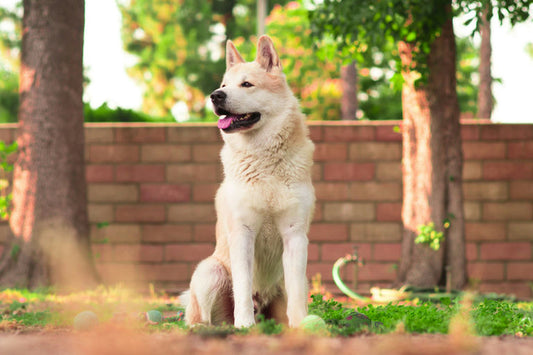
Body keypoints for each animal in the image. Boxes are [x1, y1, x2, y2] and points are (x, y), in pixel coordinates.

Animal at [184, 35, 314, 328]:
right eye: (223, 86)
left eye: (247, 84)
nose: (215, 96)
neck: (265, 162)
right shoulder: (243, 233)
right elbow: (242, 287)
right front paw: (244, 325)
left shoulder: (295, 235)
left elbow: (297, 295)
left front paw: (302, 326)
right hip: (210, 271)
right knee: (202, 317)